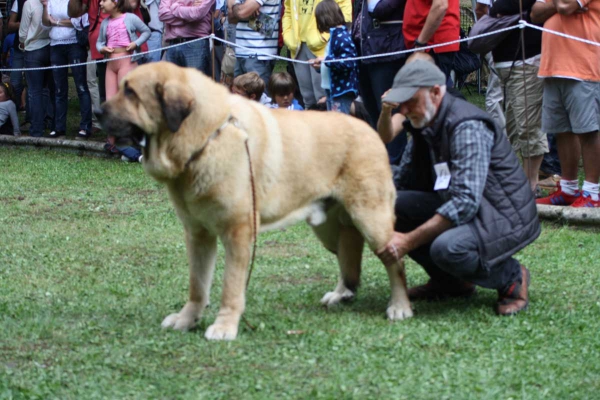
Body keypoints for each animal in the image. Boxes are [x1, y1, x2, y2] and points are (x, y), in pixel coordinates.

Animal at [96, 62, 412, 340]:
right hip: (328, 228)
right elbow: (197, 285)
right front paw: (187, 319)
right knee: (349, 252)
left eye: (131, 92)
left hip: (372, 219)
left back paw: (400, 306)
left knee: (394, 261)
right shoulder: (198, 234)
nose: (98, 111)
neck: (207, 137)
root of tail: (370, 129)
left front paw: (224, 327)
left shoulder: (238, 232)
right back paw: (341, 293)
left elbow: (230, 287)